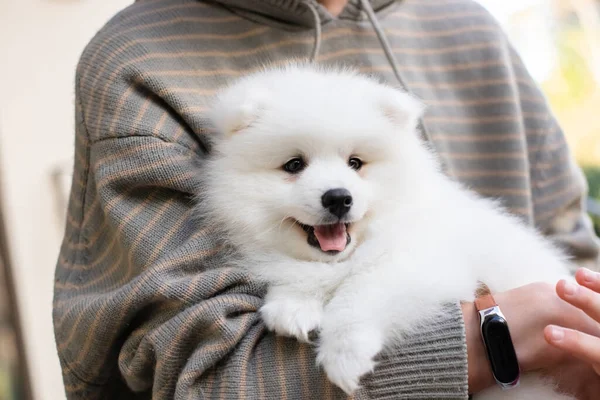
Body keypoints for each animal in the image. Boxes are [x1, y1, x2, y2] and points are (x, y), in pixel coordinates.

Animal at [199, 64, 576, 398]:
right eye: (294, 165)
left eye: (355, 163)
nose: (338, 197)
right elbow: (300, 276)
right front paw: (292, 305)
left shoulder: (426, 265)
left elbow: (360, 290)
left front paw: (344, 353)